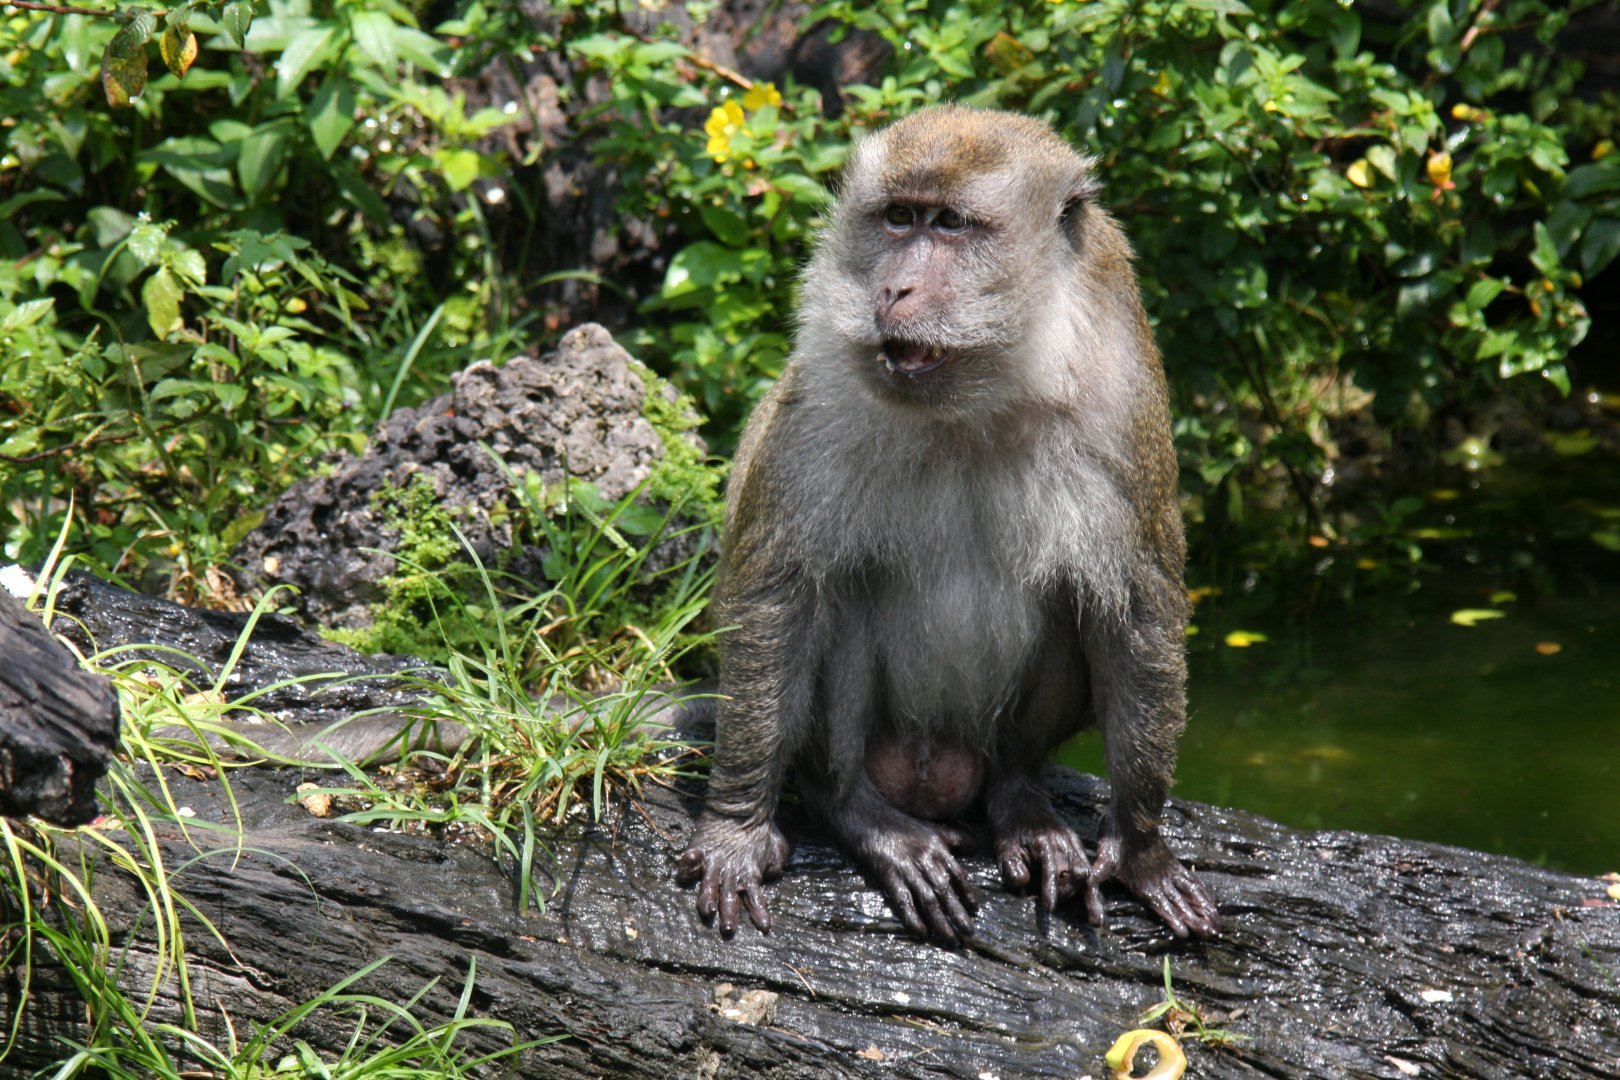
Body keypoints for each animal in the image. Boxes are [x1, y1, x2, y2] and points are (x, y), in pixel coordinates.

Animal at [675, 105, 1220, 944]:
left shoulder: (1123, 400)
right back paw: (858, 813)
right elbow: (780, 594)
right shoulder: (823, 392)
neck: (978, 399)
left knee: (1067, 606)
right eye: (899, 218)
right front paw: (736, 829)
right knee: (843, 600)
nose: (894, 287)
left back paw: (1019, 803)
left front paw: (1139, 849)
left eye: (952, 225)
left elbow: (1133, 608)